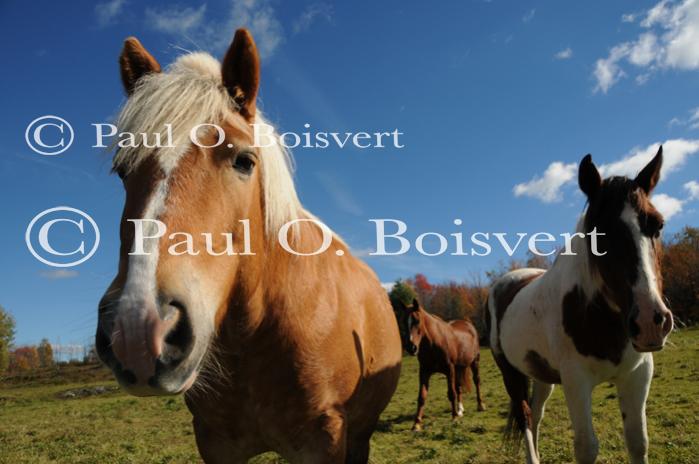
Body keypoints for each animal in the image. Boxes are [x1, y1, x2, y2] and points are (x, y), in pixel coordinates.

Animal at [95, 29, 402, 463]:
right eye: (123, 171)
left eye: (244, 160)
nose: (138, 329)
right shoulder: (215, 442)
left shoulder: (325, 440)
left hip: (360, 436)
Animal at [396, 298, 486, 431]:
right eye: (402, 321)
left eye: (417, 320)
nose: (411, 348)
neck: (434, 343)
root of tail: (468, 325)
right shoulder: (424, 372)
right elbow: (421, 397)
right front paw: (416, 424)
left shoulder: (449, 369)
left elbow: (451, 393)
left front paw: (454, 418)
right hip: (458, 368)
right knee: (459, 386)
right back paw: (460, 410)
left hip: (474, 362)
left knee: (476, 381)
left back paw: (480, 406)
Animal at [486, 147, 673, 464]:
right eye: (597, 234)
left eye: (658, 224)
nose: (650, 322)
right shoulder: (576, 381)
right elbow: (586, 447)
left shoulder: (637, 376)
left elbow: (638, 442)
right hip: (510, 373)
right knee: (525, 417)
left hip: (542, 375)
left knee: (536, 414)